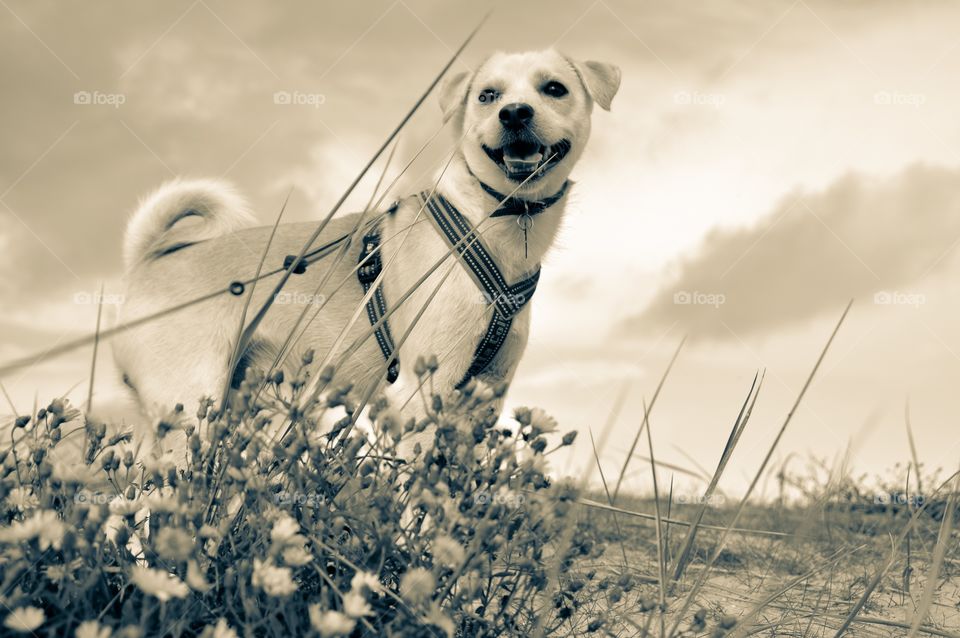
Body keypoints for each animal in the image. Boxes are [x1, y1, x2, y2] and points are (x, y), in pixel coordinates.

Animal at [114, 48, 624, 450]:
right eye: (487, 96)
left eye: (554, 88)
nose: (514, 112)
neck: (493, 218)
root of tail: (145, 262)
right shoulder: (421, 394)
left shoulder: (483, 400)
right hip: (189, 409)